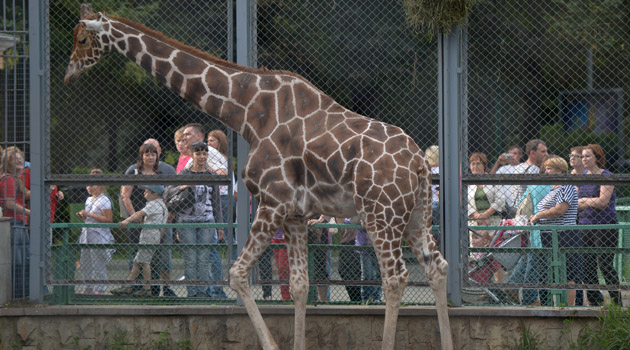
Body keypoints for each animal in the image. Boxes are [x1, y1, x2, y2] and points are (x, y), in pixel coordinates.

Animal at [65, 4, 454, 348]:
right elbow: (299, 285)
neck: (248, 112)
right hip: (415, 215)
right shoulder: (296, 213)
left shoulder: (272, 202)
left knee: (395, 278)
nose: (69, 74)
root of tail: (419, 163)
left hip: (380, 215)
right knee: (437, 267)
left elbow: (237, 275)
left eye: (83, 39)